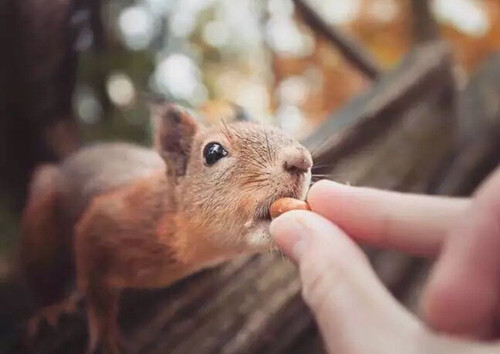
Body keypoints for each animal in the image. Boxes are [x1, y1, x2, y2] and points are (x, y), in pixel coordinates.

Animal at [21, 101, 314, 352]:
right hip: (41, 217)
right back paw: (51, 308)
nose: (302, 160)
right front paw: (105, 335)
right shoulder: (104, 220)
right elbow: (94, 281)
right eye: (213, 152)